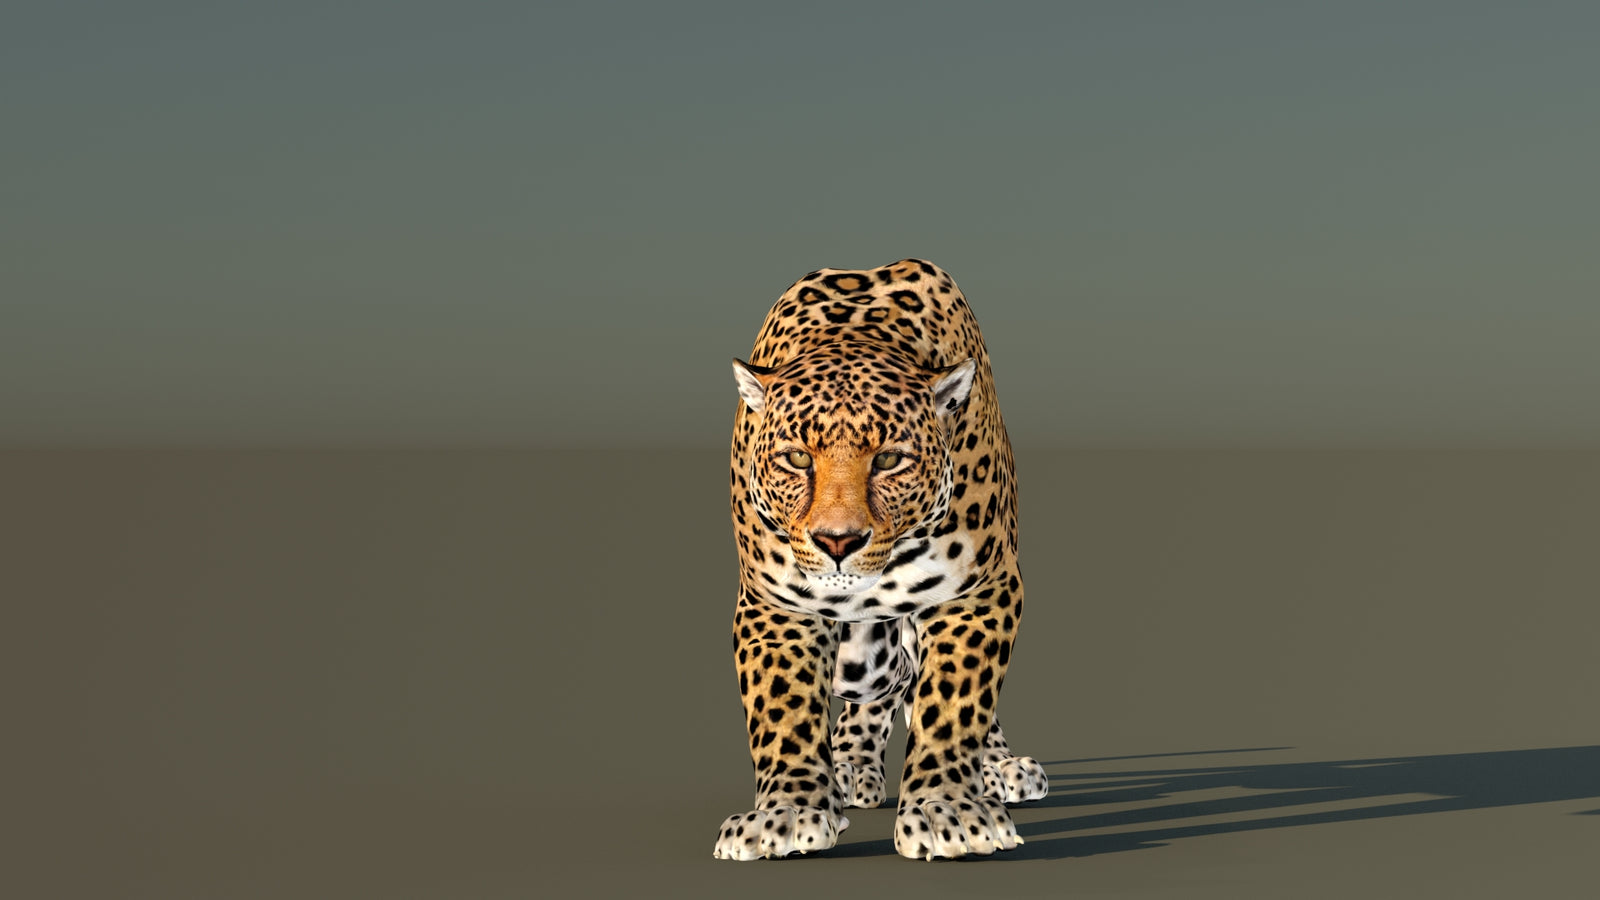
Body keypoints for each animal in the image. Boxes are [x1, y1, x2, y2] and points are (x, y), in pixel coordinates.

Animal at [713, 258, 1048, 862]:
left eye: (890, 459)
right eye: (797, 458)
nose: (837, 541)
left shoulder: (980, 589)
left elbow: (955, 701)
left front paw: (946, 811)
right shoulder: (776, 603)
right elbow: (783, 709)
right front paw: (786, 812)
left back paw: (1000, 767)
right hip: (863, 660)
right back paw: (846, 768)